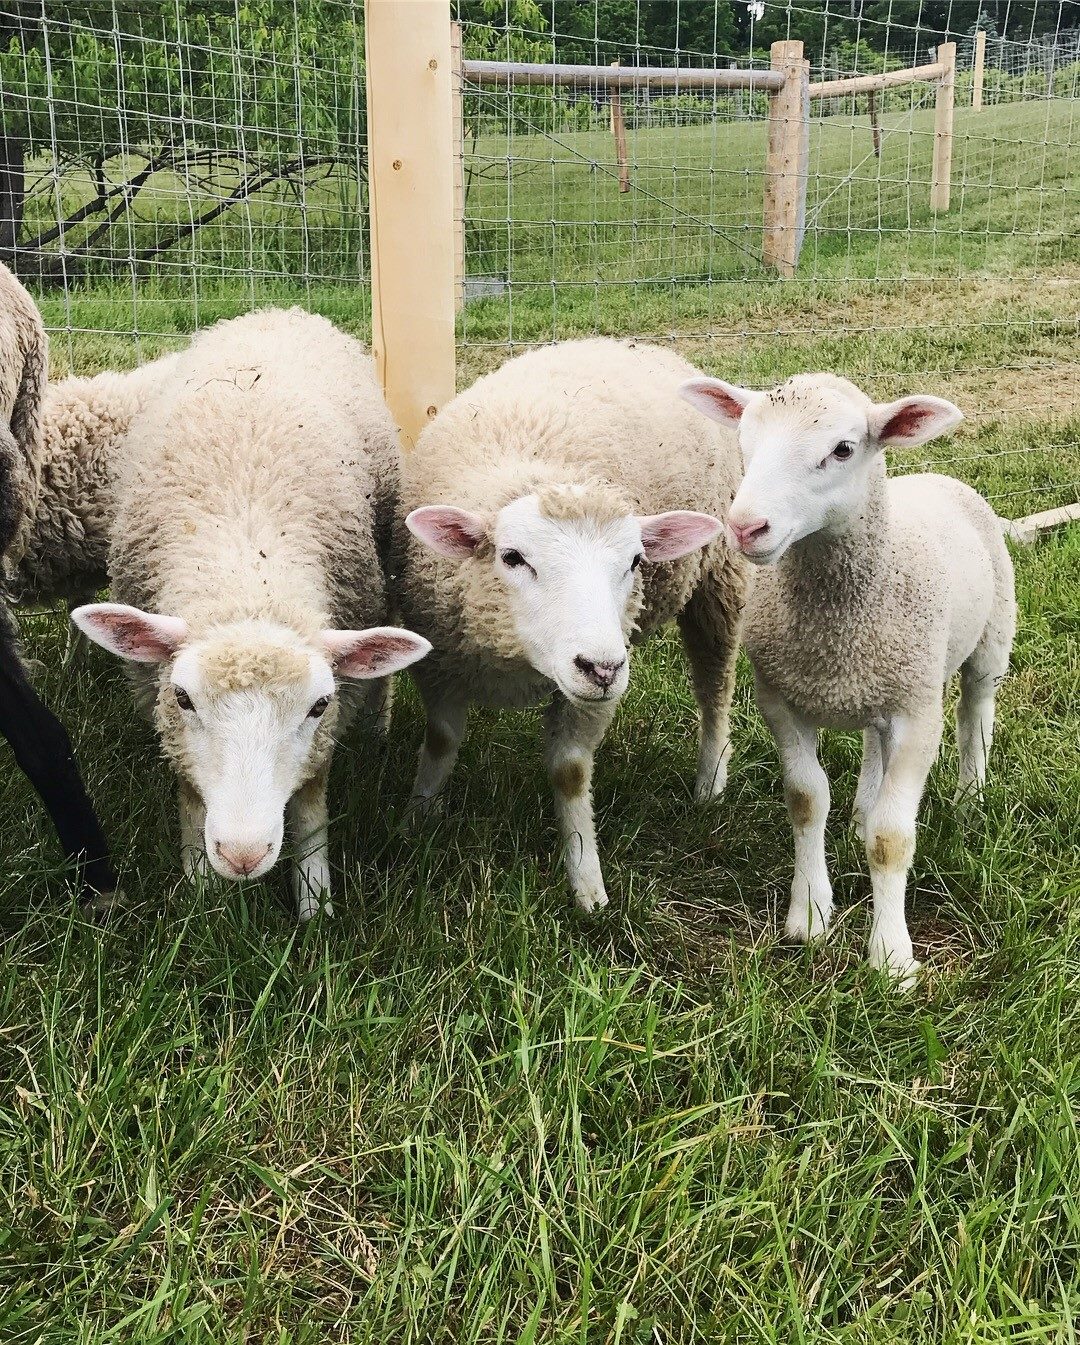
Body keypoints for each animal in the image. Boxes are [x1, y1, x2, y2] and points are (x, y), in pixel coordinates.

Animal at [69, 306, 433, 919]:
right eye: (183, 699)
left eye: (318, 705)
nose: (243, 854)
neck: (247, 572)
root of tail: (277, 311)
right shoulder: (162, 710)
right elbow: (191, 795)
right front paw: (200, 895)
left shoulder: (327, 730)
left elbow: (310, 806)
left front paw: (315, 905)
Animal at [400, 336, 747, 914]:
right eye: (512, 557)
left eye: (636, 561)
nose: (602, 668)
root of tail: (634, 344)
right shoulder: (440, 658)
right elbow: (442, 739)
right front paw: (416, 818)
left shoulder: (596, 689)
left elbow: (570, 772)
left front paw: (587, 883)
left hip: (718, 577)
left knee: (715, 686)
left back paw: (711, 781)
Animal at [683, 373, 1011, 984]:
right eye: (744, 441)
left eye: (842, 449)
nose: (745, 527)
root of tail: (935, 475)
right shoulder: (781, 699)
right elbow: (807, 800)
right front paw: (809, 914)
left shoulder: (917, 714)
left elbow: (892, 838)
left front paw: (892, 956)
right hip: (879, 685)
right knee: (873, 743)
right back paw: (862, 810)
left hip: (990, 634)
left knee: (975, 709)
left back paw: (969, 797)